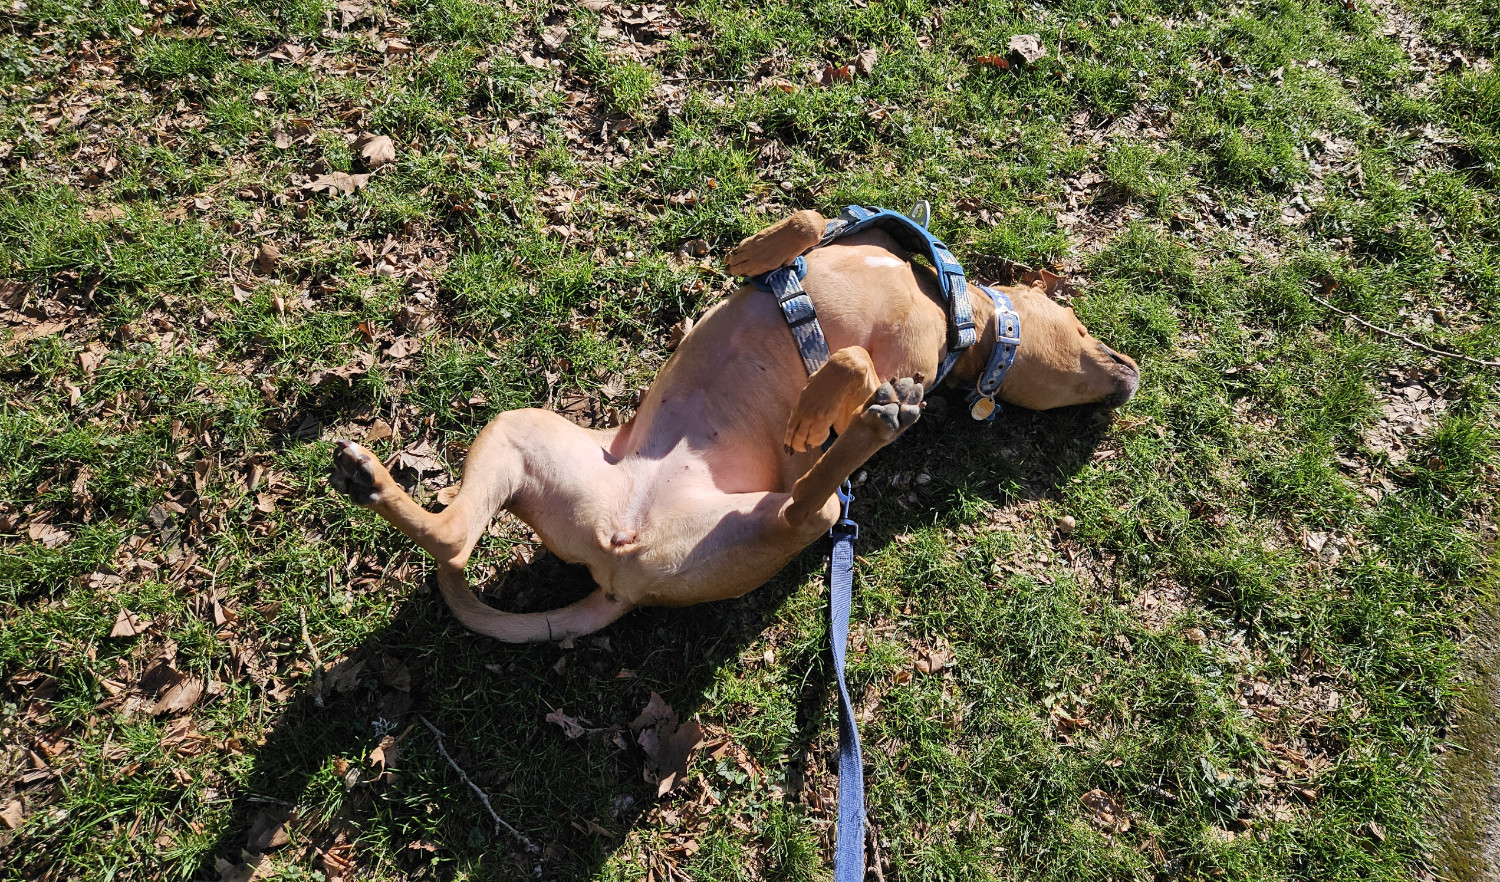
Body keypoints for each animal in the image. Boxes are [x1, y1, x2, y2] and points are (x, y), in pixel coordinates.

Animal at [334, 210, 1140, 645]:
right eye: (1081, 323)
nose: (1132, 373)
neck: (946, 304)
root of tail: (620, 568)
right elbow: (804, 227)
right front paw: (765, 255)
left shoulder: (896, 369)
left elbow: (847, 364)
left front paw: (818, 406)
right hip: (518, 429)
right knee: (453, 535)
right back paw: (367, 481)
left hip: (788, 520)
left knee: (806, 502)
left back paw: (881, 424)